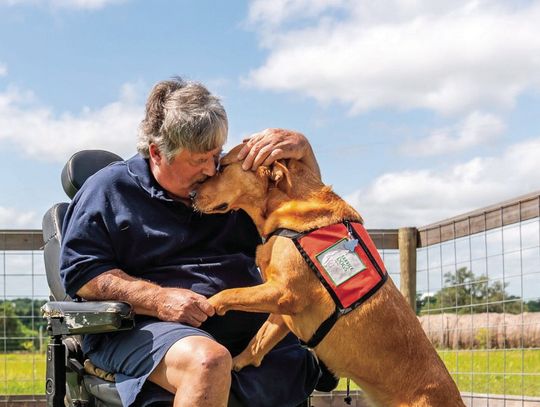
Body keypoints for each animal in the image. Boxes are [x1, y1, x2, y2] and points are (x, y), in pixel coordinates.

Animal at [193, 145, 464, 406]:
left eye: (223, 167)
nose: (193, 194)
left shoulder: (284, 292)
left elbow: (229, 293)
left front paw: (203, 307)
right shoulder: (282, 311)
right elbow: (258, 340)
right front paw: (236, 363)